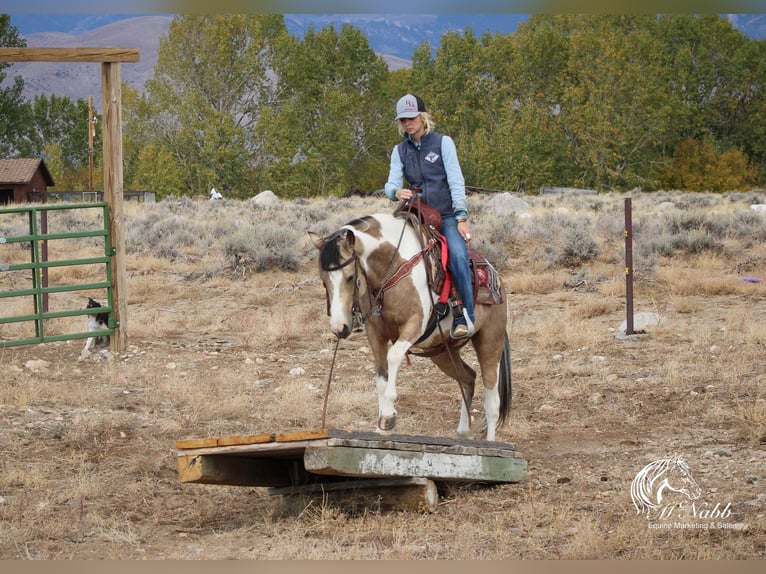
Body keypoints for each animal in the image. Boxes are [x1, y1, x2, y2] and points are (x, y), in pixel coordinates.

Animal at [308, 209, 512, 444]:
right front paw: (381, 426)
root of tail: (497, 279)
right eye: (323, 279)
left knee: (492, 402)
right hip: (443, 352)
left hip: (490, 341)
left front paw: (388, 416)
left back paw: (490, 443)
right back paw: (462, 431)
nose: (339, 327)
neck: (393, 267)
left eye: (350, 277)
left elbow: (395, 356)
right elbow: (381, 378)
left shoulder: (414, 325)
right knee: (468, 378)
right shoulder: (376, 333)